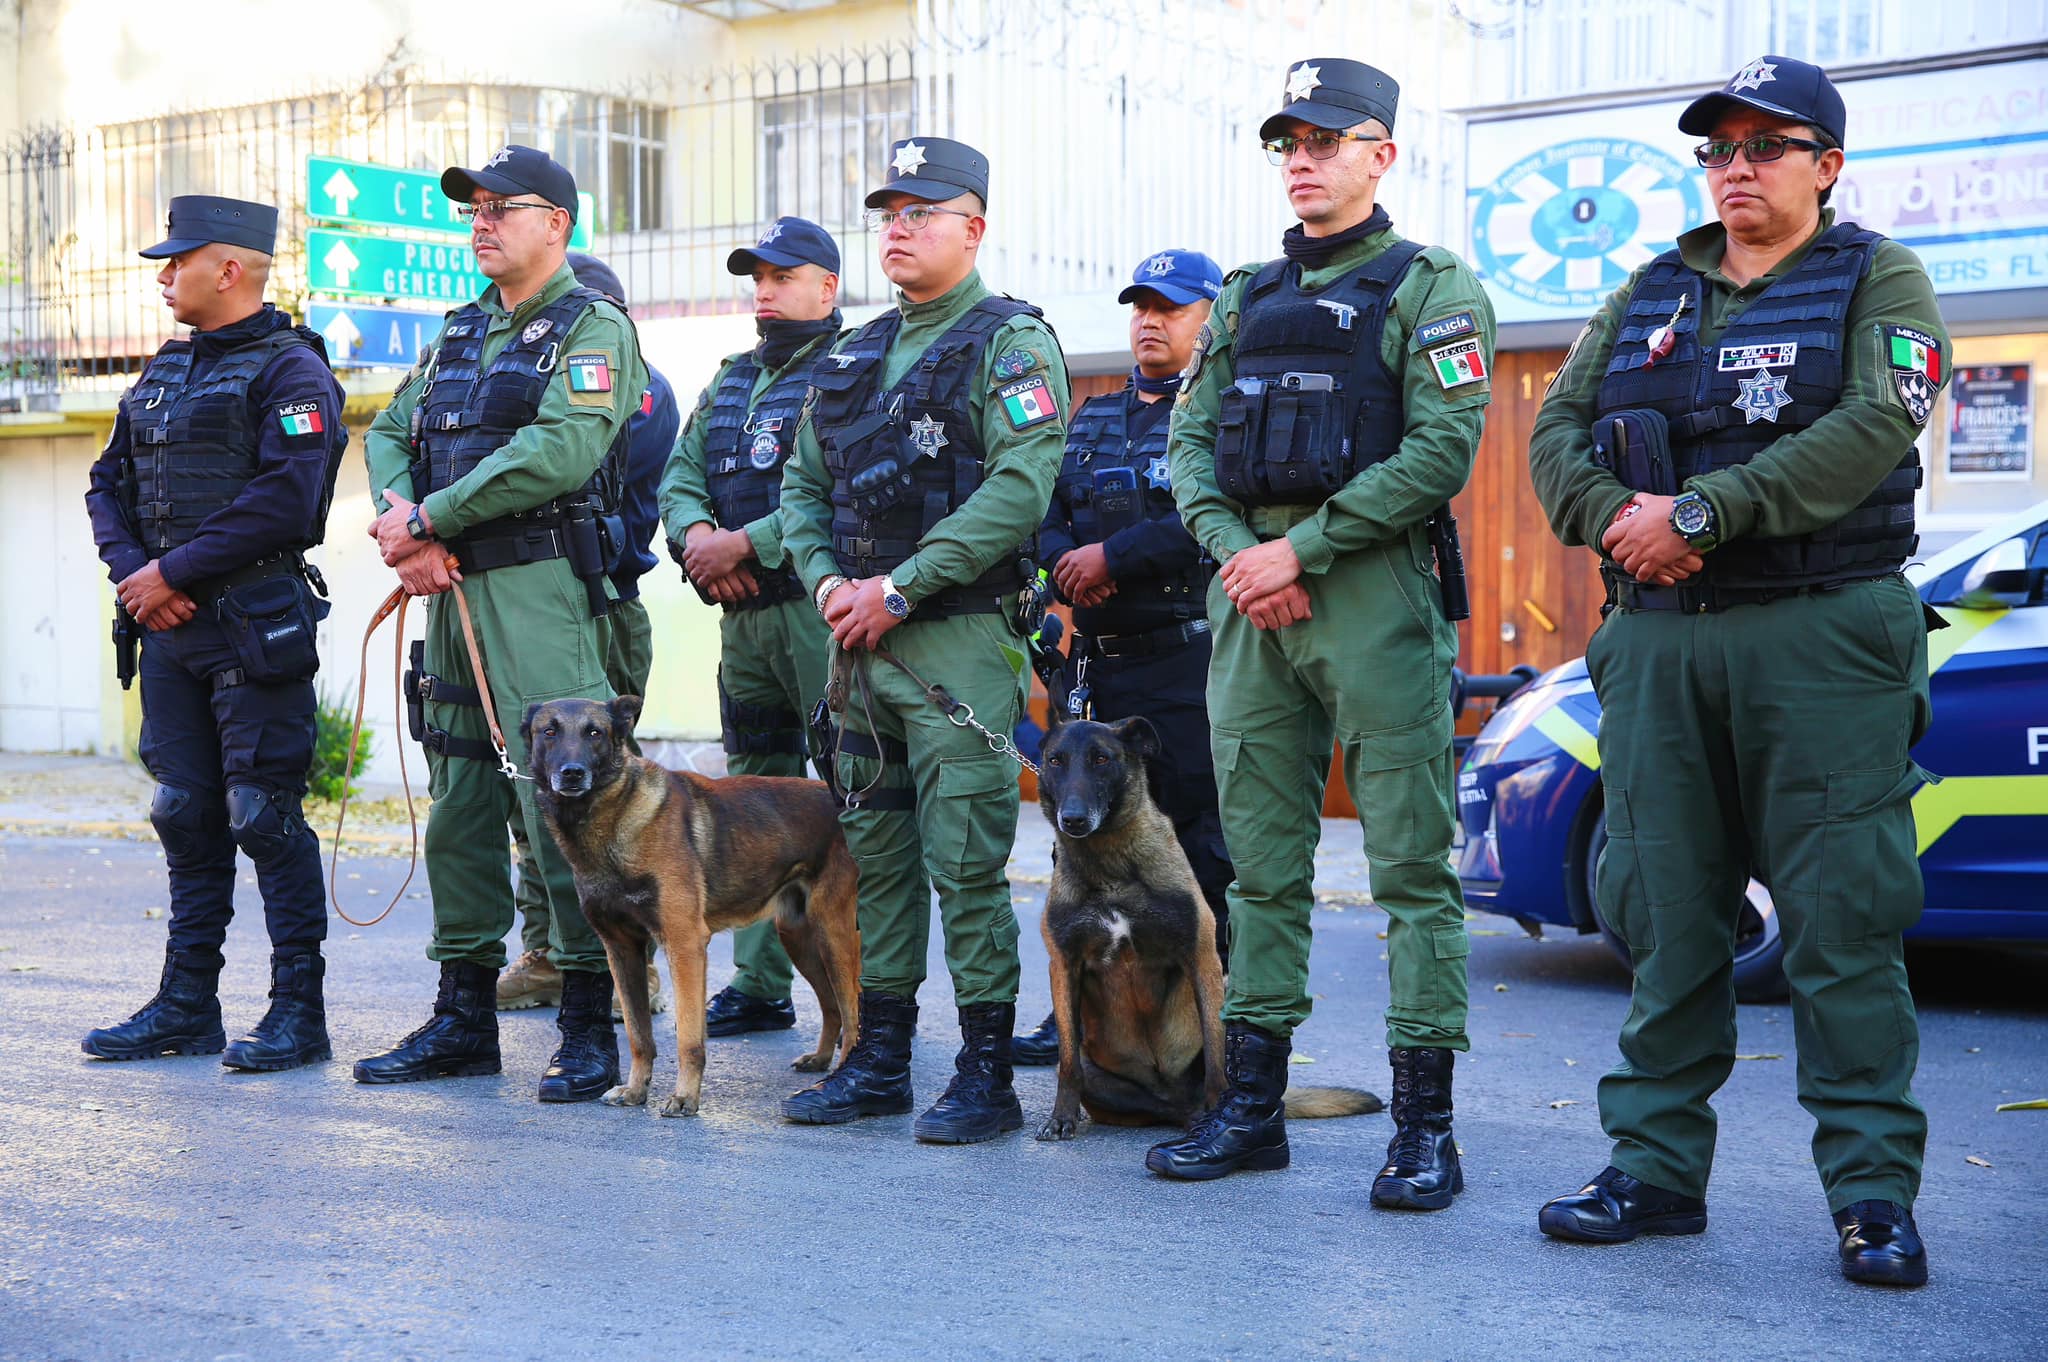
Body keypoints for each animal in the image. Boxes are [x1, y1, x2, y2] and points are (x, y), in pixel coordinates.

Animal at [524, 692, 860, 1114]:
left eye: (594, 733)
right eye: (549, 732)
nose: (572, 774)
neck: (615, 817)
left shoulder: (684, 945)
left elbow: (688, 1038)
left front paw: (685, 1096)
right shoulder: (621, 950)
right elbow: (638, 1035)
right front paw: (635, 1089)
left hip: (834, 935)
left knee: (853, 1014)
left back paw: (844, 1077)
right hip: (800, 939)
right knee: (832, 1006)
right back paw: (821, 1060)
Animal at [1032, 704, 1384, 1138]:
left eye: (1102, 759)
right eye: (1055, 761)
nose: (1074, 819)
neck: (1110, 868)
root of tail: (1176, 1102)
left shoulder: (1201, 959)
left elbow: (1218, 1057)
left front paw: (1223, 1113)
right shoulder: (1064, 966)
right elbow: (1067, 1062)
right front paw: (1062, 1116)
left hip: (1230, 989)